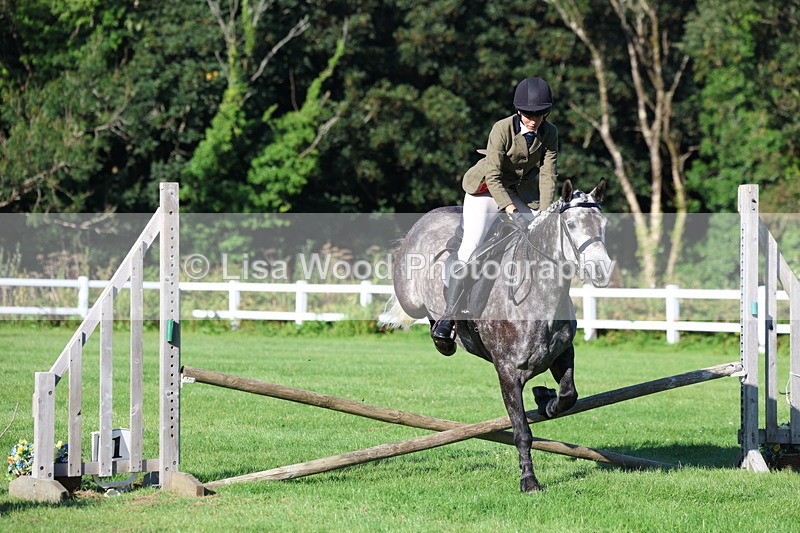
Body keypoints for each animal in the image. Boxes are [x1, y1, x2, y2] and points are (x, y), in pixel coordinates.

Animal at [382, 178, 612, 492]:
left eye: (604, 223)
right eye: (572, 225)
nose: (602, 270)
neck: (541, 294)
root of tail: (429, 216)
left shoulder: (563, 353)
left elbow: (568, 395)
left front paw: (545, 398)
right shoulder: (507, 372)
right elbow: (522, 431)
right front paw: (529, 481)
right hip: (412, 297)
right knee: (424, 304)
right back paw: (443, 335)